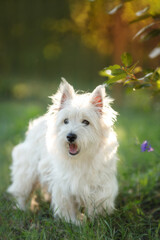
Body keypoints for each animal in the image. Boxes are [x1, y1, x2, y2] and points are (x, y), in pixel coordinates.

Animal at [8, 79, 119, 225]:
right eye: (66, 121)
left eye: (86, 122)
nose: (70, 136)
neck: (80, 159)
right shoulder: (64, 184)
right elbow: (68, 205)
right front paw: (74, 221)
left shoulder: (100, 183)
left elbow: (99, 201)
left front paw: (96, 219)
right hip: (27, 170)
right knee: (23, 191)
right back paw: (23, 209)